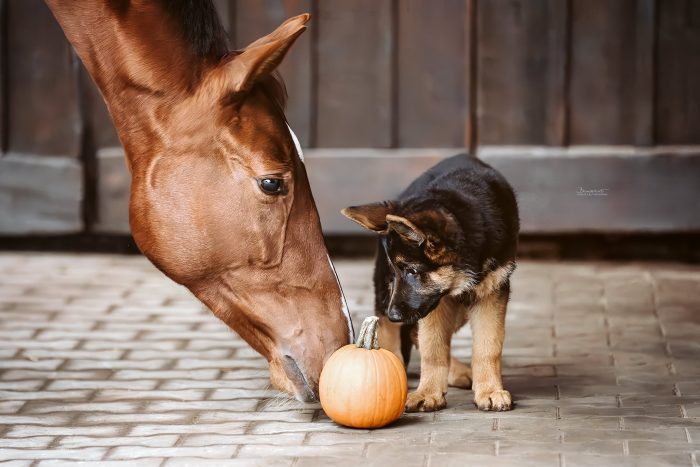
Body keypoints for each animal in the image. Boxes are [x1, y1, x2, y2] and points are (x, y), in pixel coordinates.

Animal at [342, 154, 516, 414]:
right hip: (391, 296)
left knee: (415, 332)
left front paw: (489, 390)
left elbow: (488, 347)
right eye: (397, 272)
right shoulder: (433, 303)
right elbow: (433, 348)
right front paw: (427, 393)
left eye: (413, 271)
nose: (395, 315)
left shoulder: (492, 293)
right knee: (392, 332)